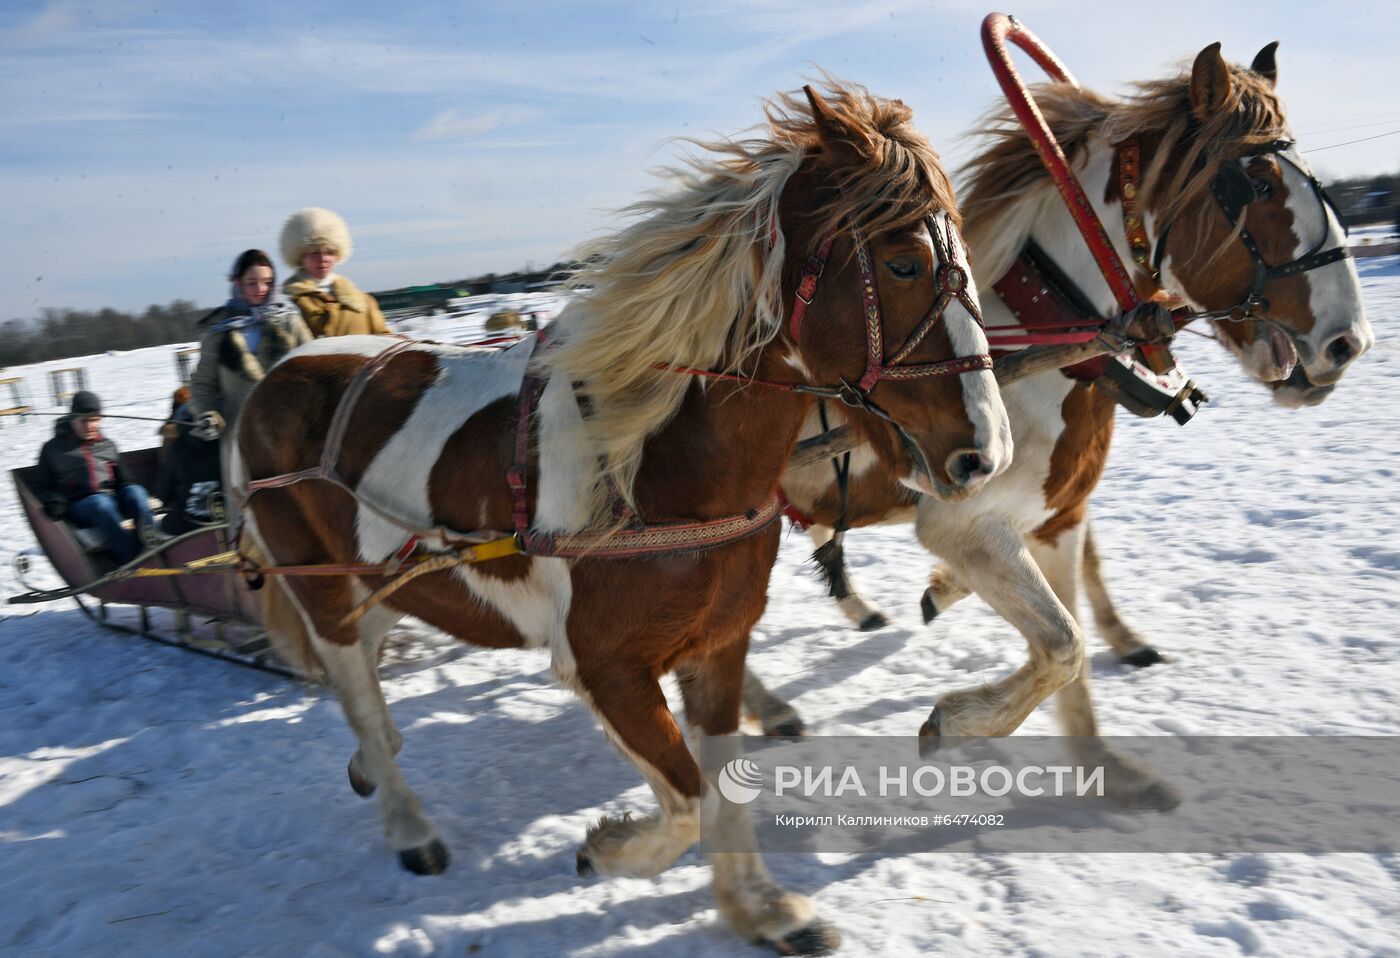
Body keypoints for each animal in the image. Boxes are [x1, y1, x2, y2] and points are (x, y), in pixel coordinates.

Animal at [235, 84, 1013, 958]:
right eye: (904, 262)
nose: (986, 452)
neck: (652, 464)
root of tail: (273, 378)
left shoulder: (718, 643)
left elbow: (722, 784)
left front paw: (760, 908)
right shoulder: (604, 667)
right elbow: (685, 799)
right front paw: (609, 849)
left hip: (381, 581)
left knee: (364, 672)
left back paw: (374, 766)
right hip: (322, 588)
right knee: (358, 690)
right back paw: (407, 821)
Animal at [744, 46, 1366, 784]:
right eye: (1258, 185)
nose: (1349, 341)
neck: (1046, 356)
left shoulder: (1058, 517)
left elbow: (1073, 643)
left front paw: (1105, 769)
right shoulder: (968, 525)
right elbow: (1063, 644)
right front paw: (957, 719)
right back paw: (768, 707)